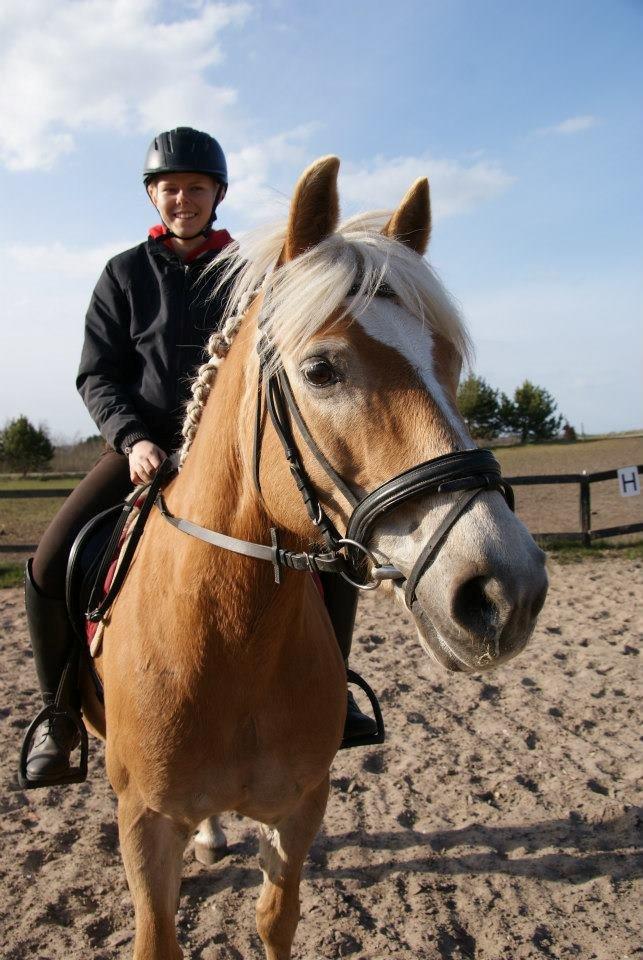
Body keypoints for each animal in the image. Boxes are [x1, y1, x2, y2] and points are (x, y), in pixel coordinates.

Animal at [82, 158, 548, 960]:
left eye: (450, 362)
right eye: (322, 370)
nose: (505, 590)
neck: (226, 641)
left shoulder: (300, 805)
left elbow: (277, 919)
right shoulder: (142, 825)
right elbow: (157, 938)